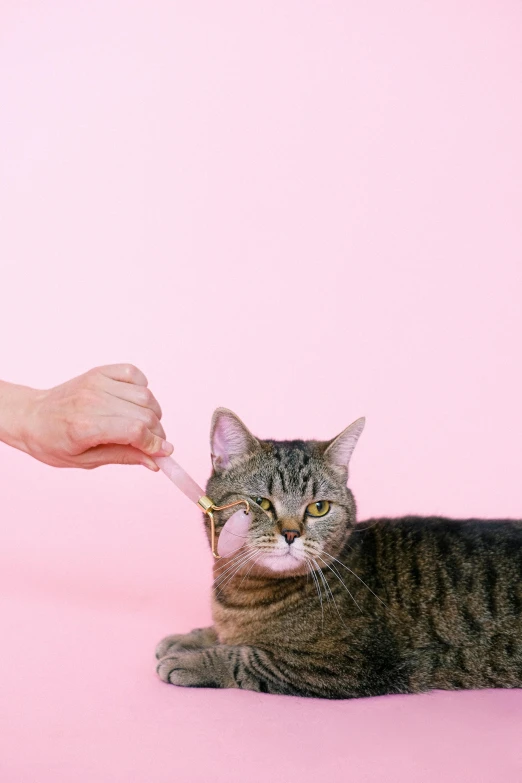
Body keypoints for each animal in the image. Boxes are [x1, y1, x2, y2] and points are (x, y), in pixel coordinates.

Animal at [154, 410, 520, 700]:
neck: (241, 593)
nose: (291, 534)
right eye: (261, 503)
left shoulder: (342, 662)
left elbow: (246, 657)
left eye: (319, 508)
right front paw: (189, 638)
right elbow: (226, 636)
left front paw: (192, 659)